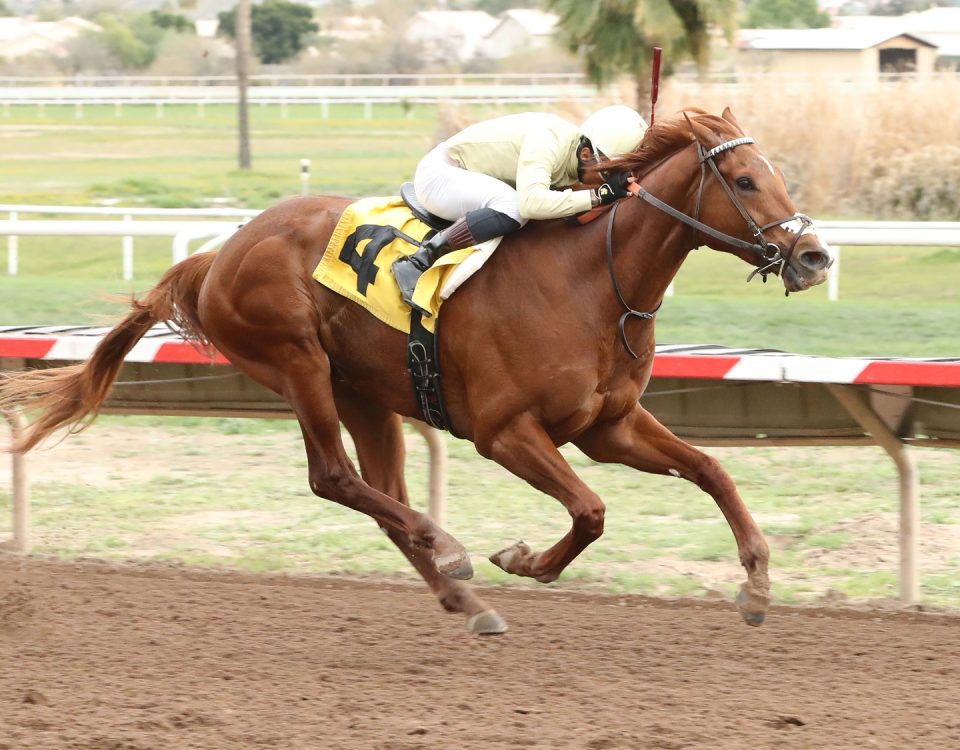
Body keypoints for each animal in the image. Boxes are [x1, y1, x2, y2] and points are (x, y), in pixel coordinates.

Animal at [0, 107, 832, 636]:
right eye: (747, 181)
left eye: (775, 172)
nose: (815, 255)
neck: (594, 283)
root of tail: (220, 252)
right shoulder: (504, 431)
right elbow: (591, 511)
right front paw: (524, 558)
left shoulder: (609, 425)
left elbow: (711, 471)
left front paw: (757, 584)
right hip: (296, 360)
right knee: (334, 478)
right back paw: (452, 550)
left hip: (364, 393)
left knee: (382, 498)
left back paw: (466, 600)